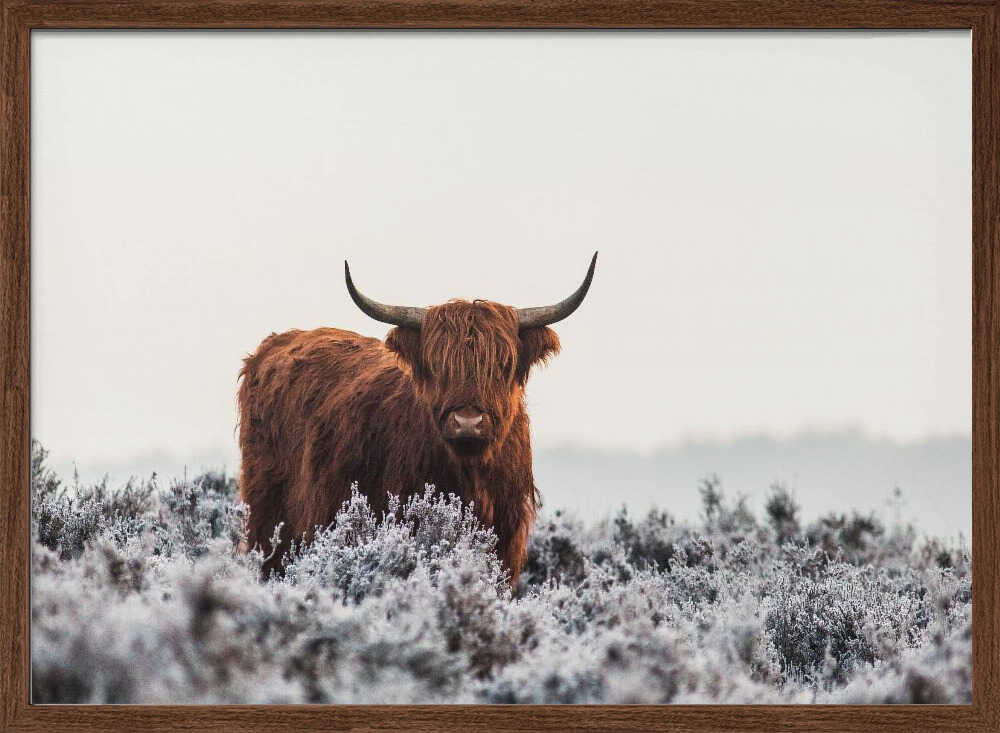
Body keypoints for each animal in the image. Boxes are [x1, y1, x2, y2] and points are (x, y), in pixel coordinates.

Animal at [237, 253, 597, 581]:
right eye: (437, 365)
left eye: (503, 365)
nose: (467, 423)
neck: (470, 474)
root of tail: (275, 344)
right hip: (268, 517)